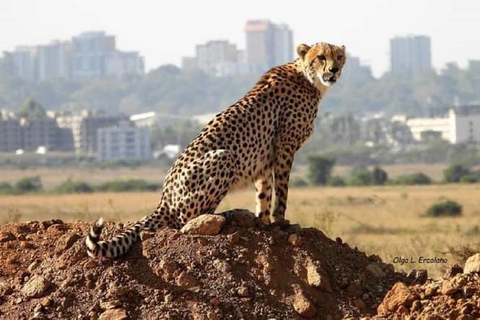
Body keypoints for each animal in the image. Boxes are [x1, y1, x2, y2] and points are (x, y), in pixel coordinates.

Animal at [86, 42, 346, 258]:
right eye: (321, 57)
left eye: (339, 57)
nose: (333, 70)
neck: (309, 80)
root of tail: (164, 198)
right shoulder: (284, 146)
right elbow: (281, 190)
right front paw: (280, 221)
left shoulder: (265, 157)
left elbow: (264, 192)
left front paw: (263, 222)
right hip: (224, 157)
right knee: (185, 221)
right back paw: (226, 215)